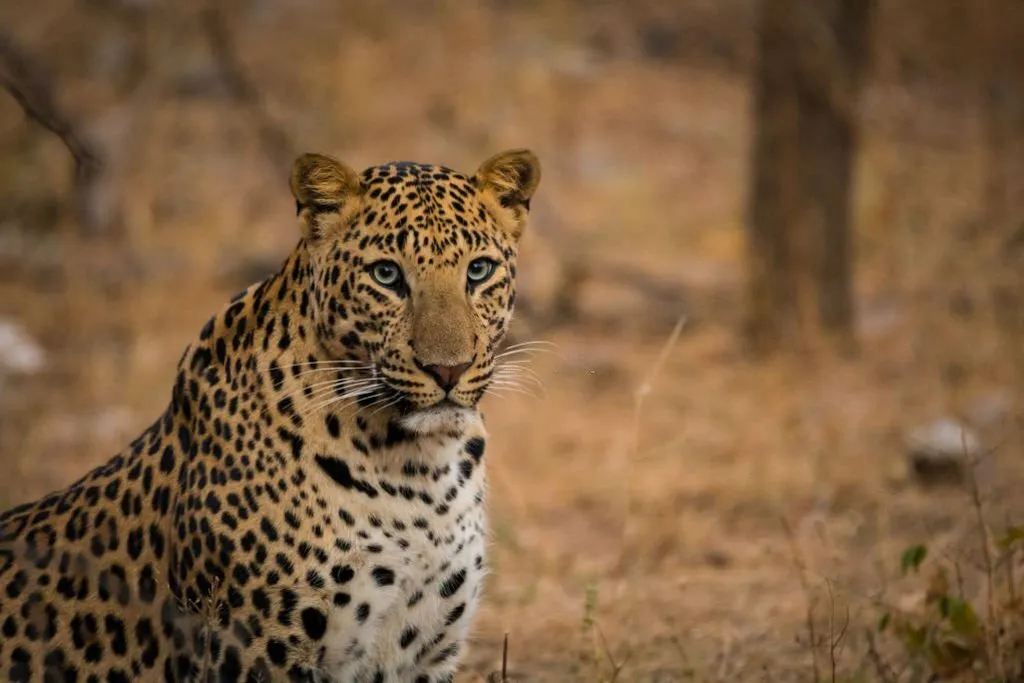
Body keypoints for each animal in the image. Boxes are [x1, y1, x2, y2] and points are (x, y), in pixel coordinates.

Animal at [0, 148, 541, 682]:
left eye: (479, 271)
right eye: (386, 275)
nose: (448, 369)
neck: (418, 471)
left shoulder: (425, 654)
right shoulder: (258, 655)